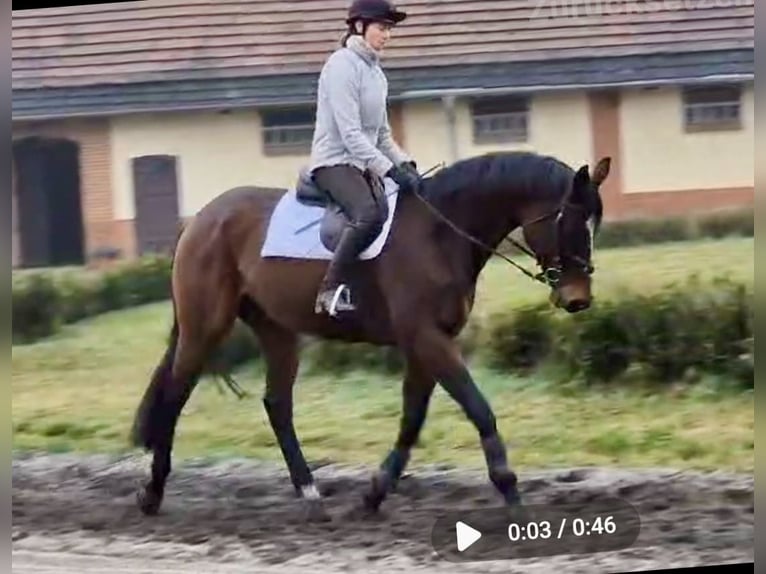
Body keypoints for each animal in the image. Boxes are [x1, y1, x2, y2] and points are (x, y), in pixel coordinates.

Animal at [129, 150, 611, 521]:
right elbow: (479, 409)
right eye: (570, 223)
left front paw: (376, 492)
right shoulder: (427, 339)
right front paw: (510, 491)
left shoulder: (426, 343)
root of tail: (200, 219)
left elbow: (412, 420)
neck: (440, 232)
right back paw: (152, 494)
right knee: (176, 394)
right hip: (205, 325)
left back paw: (310, 494)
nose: (578, 299)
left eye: (596, 225)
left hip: (277, 329)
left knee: (277, 404)